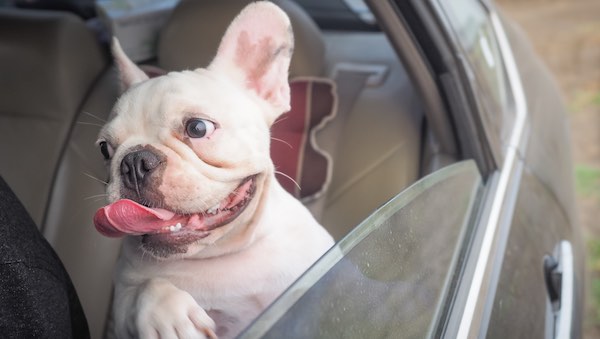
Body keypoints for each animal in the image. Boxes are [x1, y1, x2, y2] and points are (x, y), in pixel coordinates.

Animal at [95, 1, 336, 338]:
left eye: (198, 128)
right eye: (105, 148)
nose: (134, 162)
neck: (216, 256)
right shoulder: (121, 302)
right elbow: (145, 288)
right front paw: (168, 315)